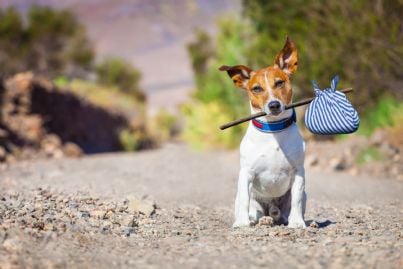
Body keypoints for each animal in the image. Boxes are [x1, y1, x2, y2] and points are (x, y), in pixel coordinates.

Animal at [221, 36, 306, 227]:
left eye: (279, 82)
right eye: (257, 88)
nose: (274, 105)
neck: (273, 131)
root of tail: (271, 208)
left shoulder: (299, 172)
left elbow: (296, 199)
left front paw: (297, 223)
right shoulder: (246, 173)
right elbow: (244, 200)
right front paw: (242, 224)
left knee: (286, 211)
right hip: (251, 200)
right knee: (254, 210)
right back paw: (260, 219)